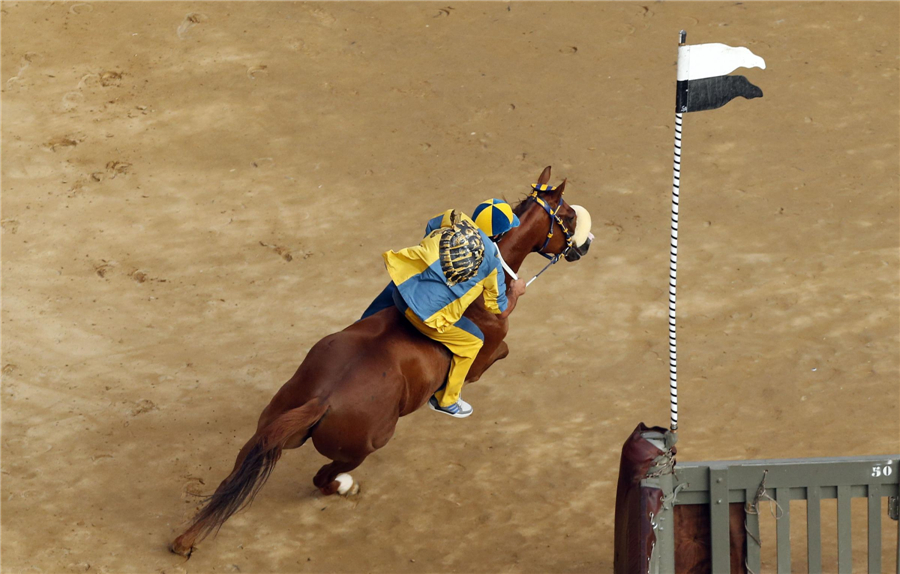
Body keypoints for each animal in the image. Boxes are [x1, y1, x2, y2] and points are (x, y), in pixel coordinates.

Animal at [171, 166, 592, 560]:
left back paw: (186, 539)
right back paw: (346, 486)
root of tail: (322, 399)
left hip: (270, 425)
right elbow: (495, 355)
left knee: (234, 477)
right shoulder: (483, 357)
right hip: (364, 446)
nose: (585, 245)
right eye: (569, 215)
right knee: (324, 478)